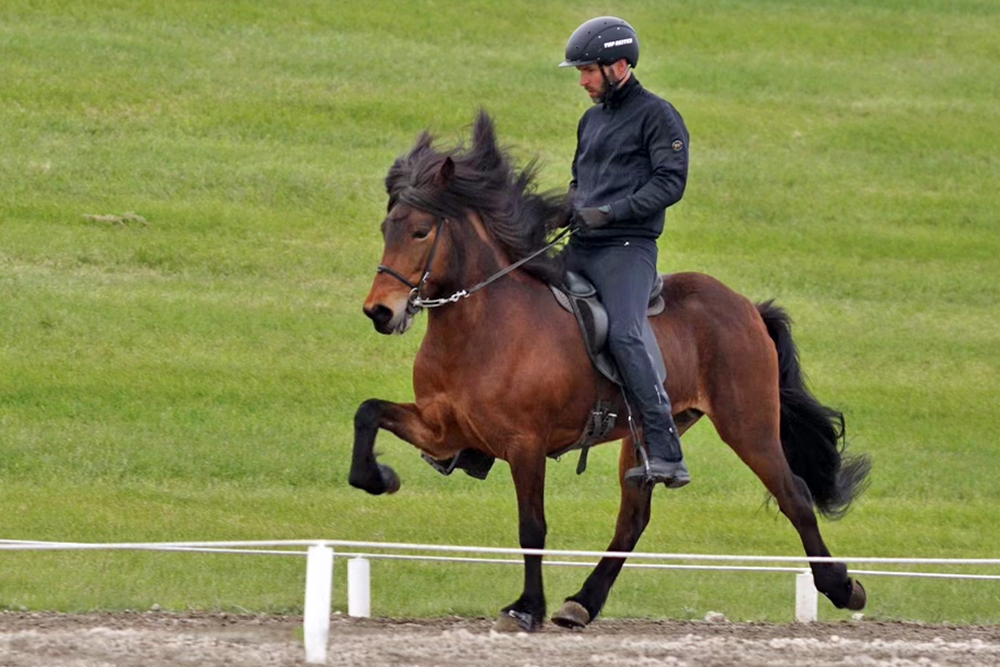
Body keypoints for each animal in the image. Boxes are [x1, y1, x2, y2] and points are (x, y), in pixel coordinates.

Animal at [350, 109, 868, 632]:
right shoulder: (444, 430)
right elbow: (367, 412)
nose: (380, 312)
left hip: (748, 425)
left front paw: (526, 607)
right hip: (652, 434)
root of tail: (746, 307)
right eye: (386, 227)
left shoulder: (525, 444)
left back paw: (843, 588)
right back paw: (582, 602)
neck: (482, 327)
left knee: (794, 494)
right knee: (633, 519)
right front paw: (380, 478)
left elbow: (531, 526)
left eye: (420, 231)